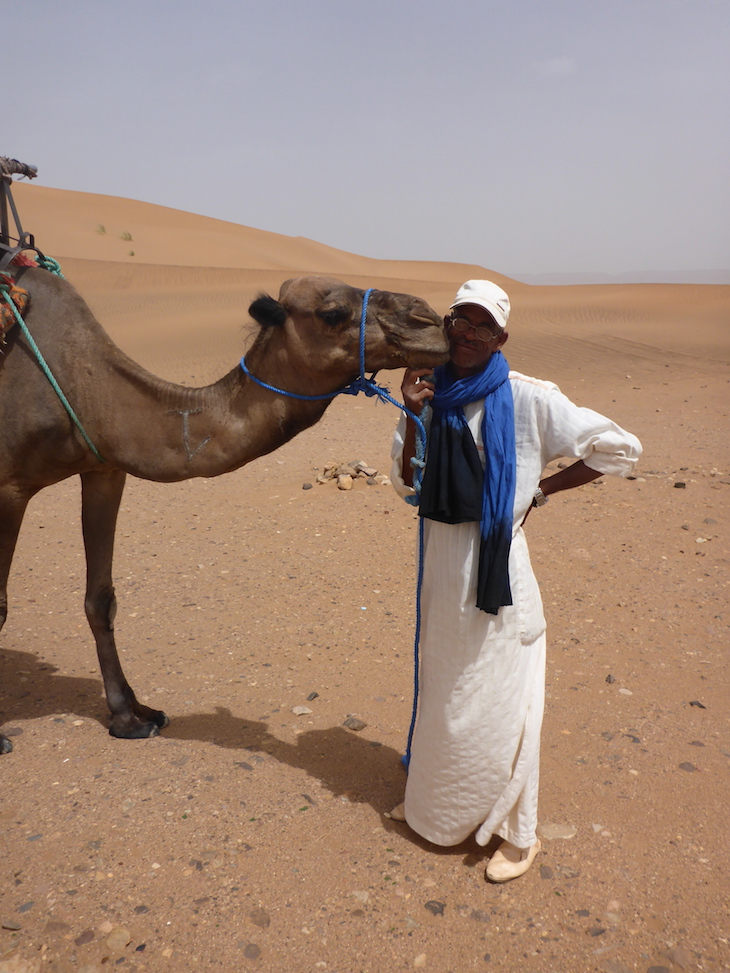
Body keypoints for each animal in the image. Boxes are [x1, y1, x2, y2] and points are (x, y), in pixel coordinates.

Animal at [0, 264, 446, 752]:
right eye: (331, 312)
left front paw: (131, 716)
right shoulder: (9, 488)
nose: (430, 320)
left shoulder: (105, 468)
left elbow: (101, 599)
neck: (83, 384)